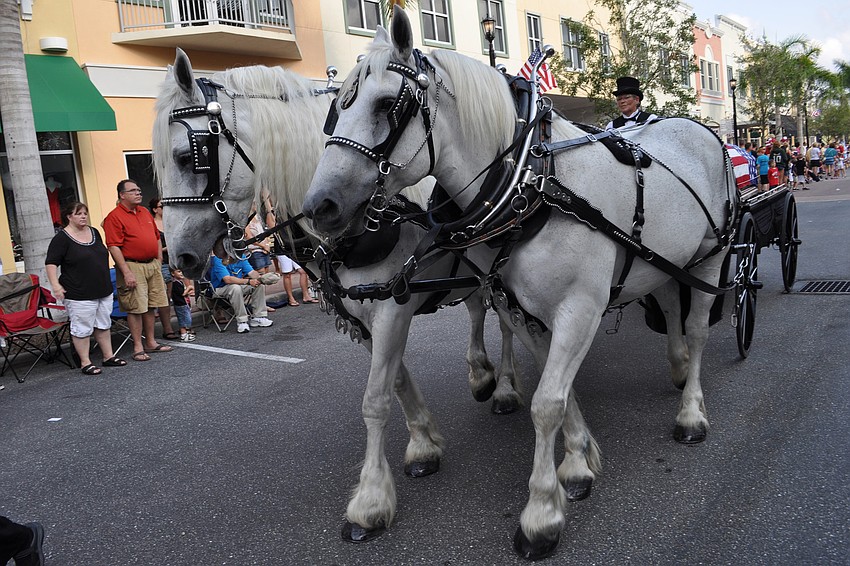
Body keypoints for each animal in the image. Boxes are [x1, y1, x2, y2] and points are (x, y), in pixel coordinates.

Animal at [152, 47, 525, 536]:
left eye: (185, 156)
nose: (179, 257)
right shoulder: (362, 316)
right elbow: (397, 382)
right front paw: (424, 443)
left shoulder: (392, 309)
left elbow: (375, 399)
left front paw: (371, 500)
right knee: (479, 309)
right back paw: (481, 373)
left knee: (505, 320)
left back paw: (503, 387)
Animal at [301, 8, 737, 559]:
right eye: (335, 109)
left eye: (385, 104)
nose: (319, 207)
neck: (534, 178)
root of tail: (701, 129)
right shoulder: (519, 305)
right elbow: (556, 388)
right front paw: (577, 464)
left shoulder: (579, 308)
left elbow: (546, 403)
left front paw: (541, 514)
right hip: (662, 260)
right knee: (670, 306)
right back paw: (677, 368)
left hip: (712, 257)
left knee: (699, 330)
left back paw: (691, 414)